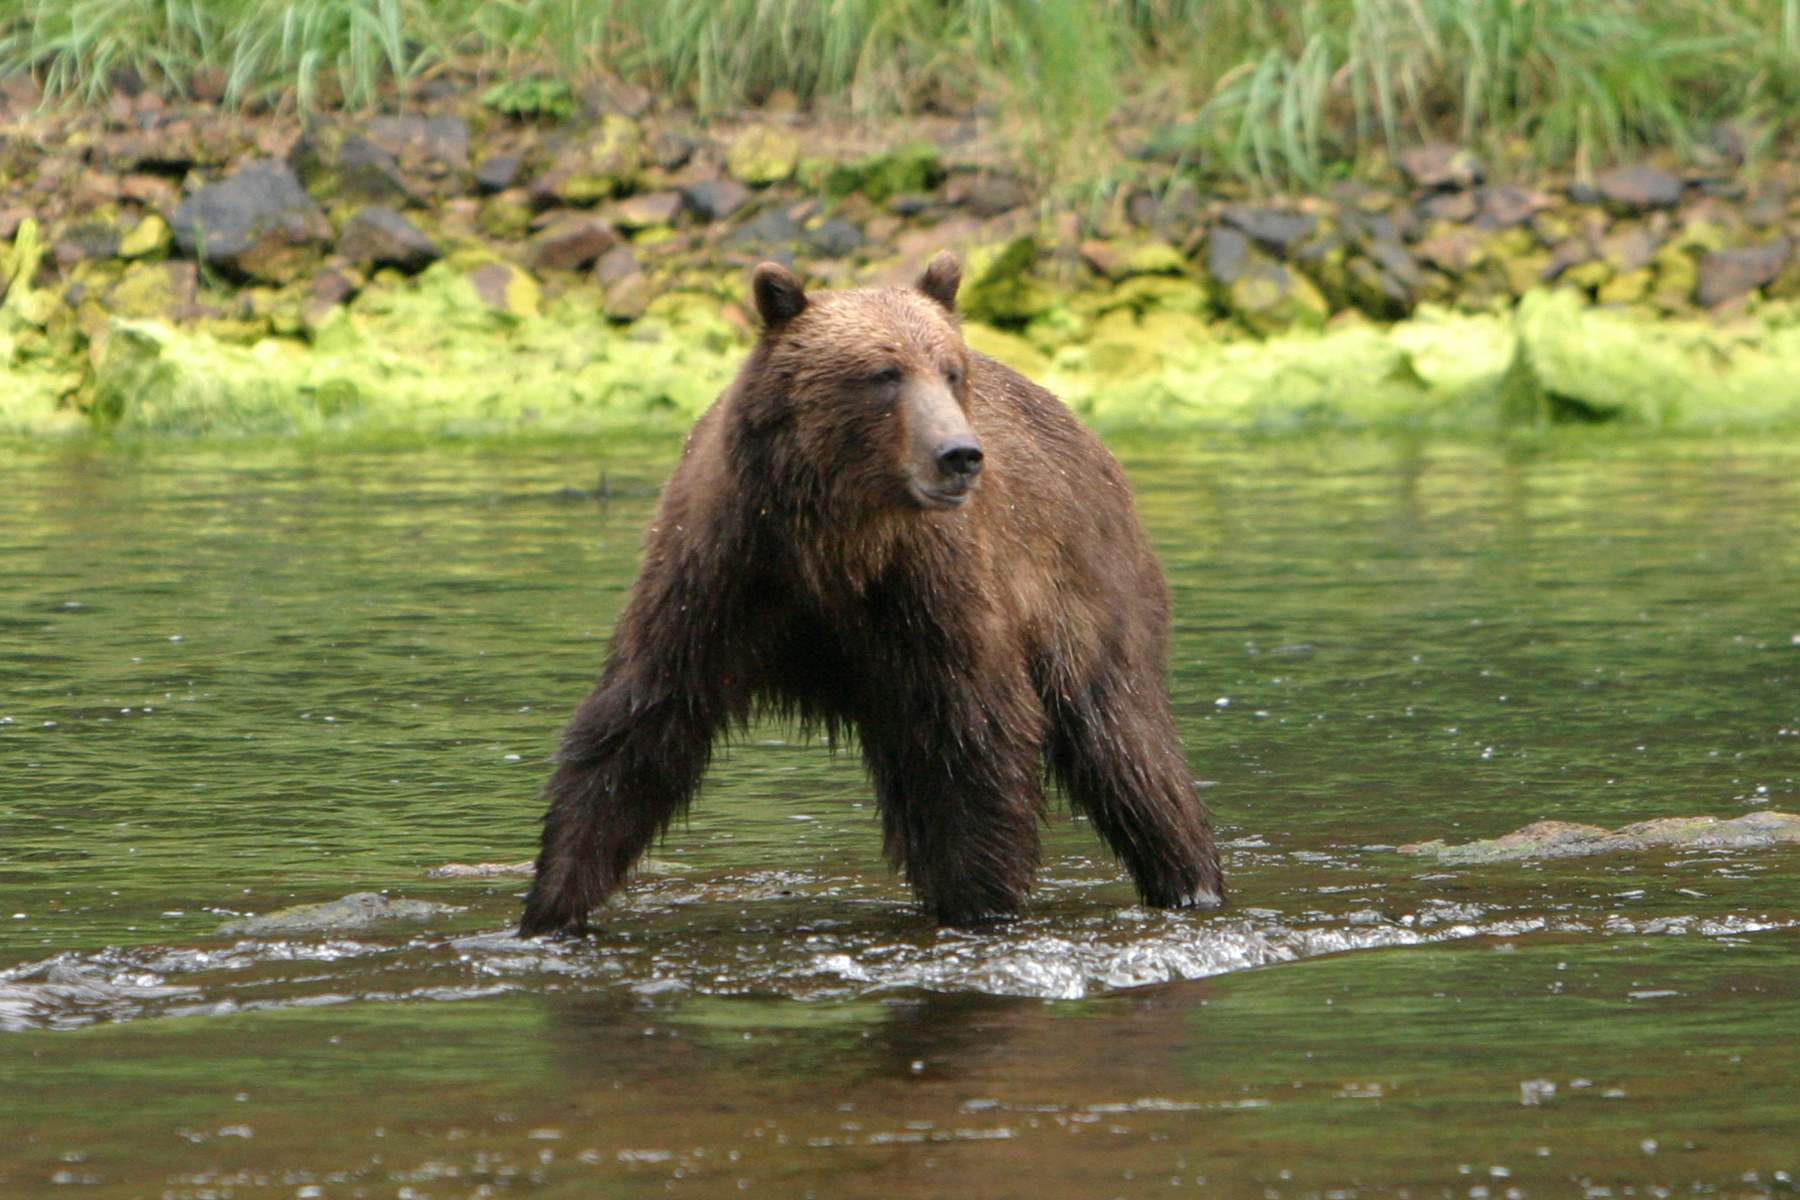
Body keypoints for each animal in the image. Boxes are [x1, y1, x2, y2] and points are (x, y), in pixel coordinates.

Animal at [519, 252, 1224, 936]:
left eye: (950, 371)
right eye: (884, 373)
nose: (959, 454)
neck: (836, 547)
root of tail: (1088, 436)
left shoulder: (929, 594)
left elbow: (978, 739)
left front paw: (983, 904)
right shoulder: (721, 577)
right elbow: (638, 729)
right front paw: (552, 905)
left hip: (1084, 586)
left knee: (1125, 746)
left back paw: (1190, 879)